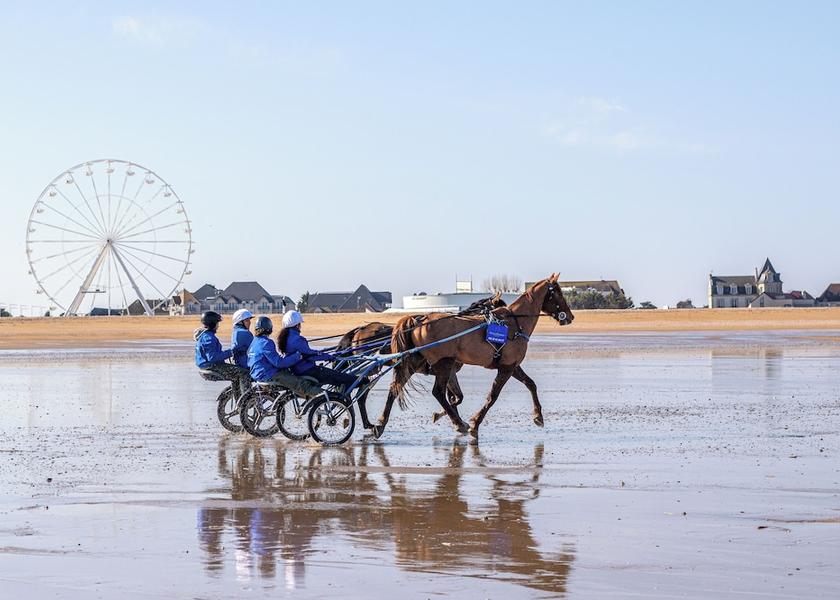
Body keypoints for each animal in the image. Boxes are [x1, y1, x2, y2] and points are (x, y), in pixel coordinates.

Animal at [372, 274, 573, 438]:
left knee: (395, 389)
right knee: (437, 392)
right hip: (443, 363)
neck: (514, 324)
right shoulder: (506, 368)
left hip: (415, 363)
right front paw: (475, 424)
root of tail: (418, 320)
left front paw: (538, 416)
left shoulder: (512, 365)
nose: (570, 317)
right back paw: (458, 424)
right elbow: (492, 396)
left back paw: (380, 424)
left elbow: (531, 384)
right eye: (558, 292)